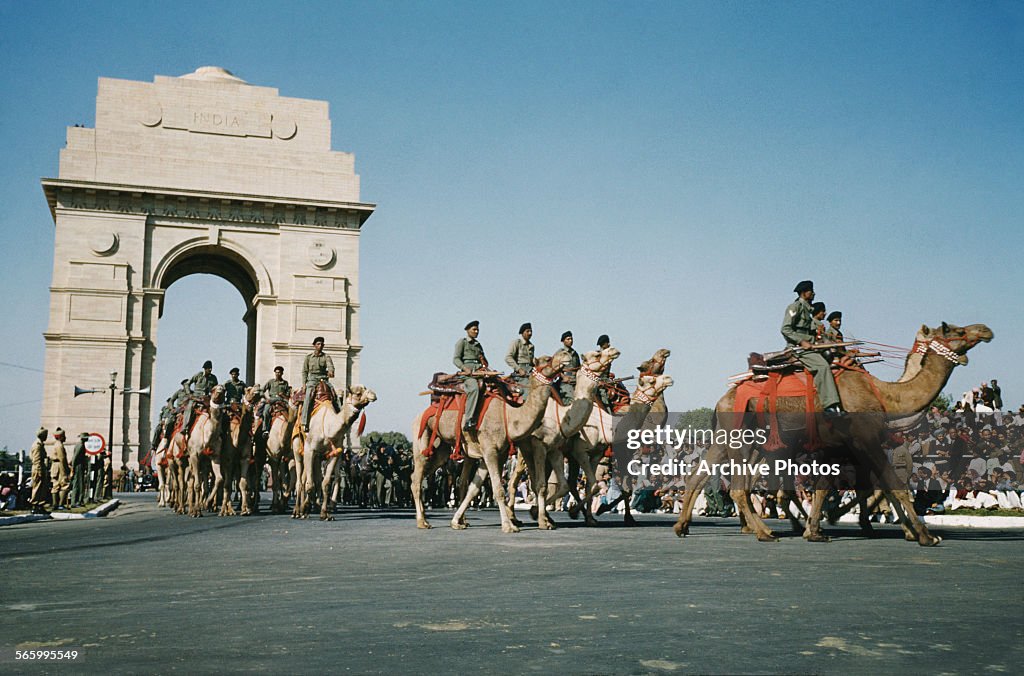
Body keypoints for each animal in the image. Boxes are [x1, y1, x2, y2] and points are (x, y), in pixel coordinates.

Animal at [292, 383, 376, 520]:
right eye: (358, 393)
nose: (373, 394)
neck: (328, 426)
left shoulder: (334, 453)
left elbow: (325, 483)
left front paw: (325, 513)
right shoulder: (310, 450)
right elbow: (310, 483)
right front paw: (305, 509)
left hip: (317, 457)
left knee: (312, 479)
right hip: (297, 449)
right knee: (300, 480)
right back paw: (297, 511)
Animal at [409, 354, 573, 532]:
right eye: (547, 359)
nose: (565, 356)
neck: (509, 416)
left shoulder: (494, 454)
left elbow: (474, 488)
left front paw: (456, 522)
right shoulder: (490, 451)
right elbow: (498, 489)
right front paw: (509, 526)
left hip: (442, 448)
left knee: (425, 473)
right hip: (421, 435)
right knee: (417, 476)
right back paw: (422, 522)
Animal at [505, 348, 618, 528]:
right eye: (597, 354)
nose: (614, 350)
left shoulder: (564, 450)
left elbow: (573, 485)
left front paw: (585, 517)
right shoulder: (566, 449)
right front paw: (541, 517)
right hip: (523, 453)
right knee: (514, 481)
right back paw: (514, 517)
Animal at [671, 319, 991, 544]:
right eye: (953, 329)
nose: (985, 330)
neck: (886, 396)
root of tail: (721, 399)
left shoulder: (838, 446)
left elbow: (834, 486)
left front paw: (817, 529)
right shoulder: (863, 439)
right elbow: (890, 483)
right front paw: (925, 536)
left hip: (731, 439)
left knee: (702, 475)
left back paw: (684, 526)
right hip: (744, 438)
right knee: (742, 487)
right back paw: (763, 532)